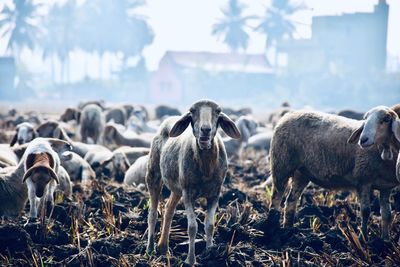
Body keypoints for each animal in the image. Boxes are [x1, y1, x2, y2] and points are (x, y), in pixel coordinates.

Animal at [147, 100, 241, 266]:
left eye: (218, 111)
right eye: (192, 111)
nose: (205, 130)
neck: (206, 168)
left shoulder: (215, 193)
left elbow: (209, 225)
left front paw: (210, 253)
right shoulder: (188, 193)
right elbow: (192, 227)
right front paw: (190, 260)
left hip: (177, 188)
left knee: (169, 209)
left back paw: (163, 248)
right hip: (154, 175)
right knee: (152, 213)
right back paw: (149, 249)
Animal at [268, 106, 400, 241]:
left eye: (386, 119)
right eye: (365, 118)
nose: (363, 140)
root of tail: (289, 114)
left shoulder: (386, 187)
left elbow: (387, 214)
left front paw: (385, 240)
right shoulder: (363, 180)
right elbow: (365, 212)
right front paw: (363, 238)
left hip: (302, 172)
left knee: (291, 200)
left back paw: (288, 230)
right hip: (282, 163)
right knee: (277, 197)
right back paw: (272, 226)